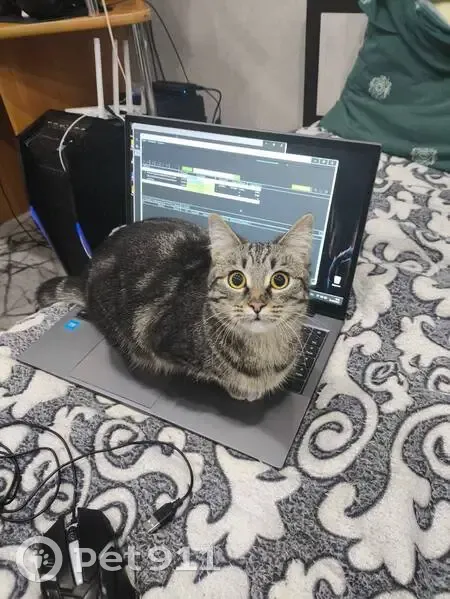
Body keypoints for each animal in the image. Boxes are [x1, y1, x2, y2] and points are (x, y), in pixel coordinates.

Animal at [37, 214, 313, 401]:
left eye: (279, 280)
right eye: (236, 279)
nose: (256, 304)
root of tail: (87, 273)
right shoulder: (160, 341)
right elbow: (218, 376)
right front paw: (240, 390)